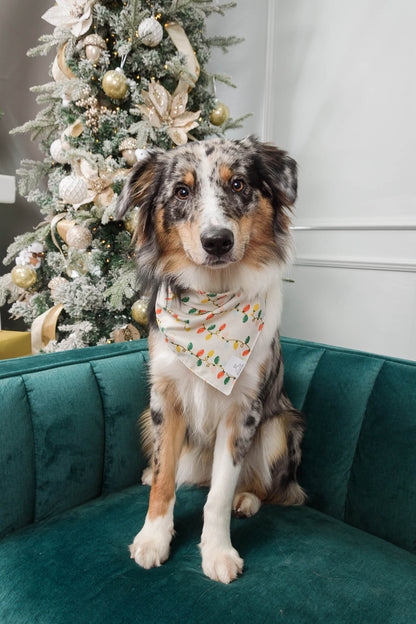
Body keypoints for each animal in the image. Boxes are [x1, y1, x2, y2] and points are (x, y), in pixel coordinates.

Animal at [115, 135, 304, 584]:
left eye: (238, 184)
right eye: (182, 192)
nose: (217, 241)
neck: (213, 298)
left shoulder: (244, 412)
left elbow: (218, 494)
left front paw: (217, 552)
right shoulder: (163, 401)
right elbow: (164, 479)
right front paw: (153, 538)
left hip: (281, 426)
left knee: (271, 488)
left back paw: (248, 499)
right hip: (146, 419)